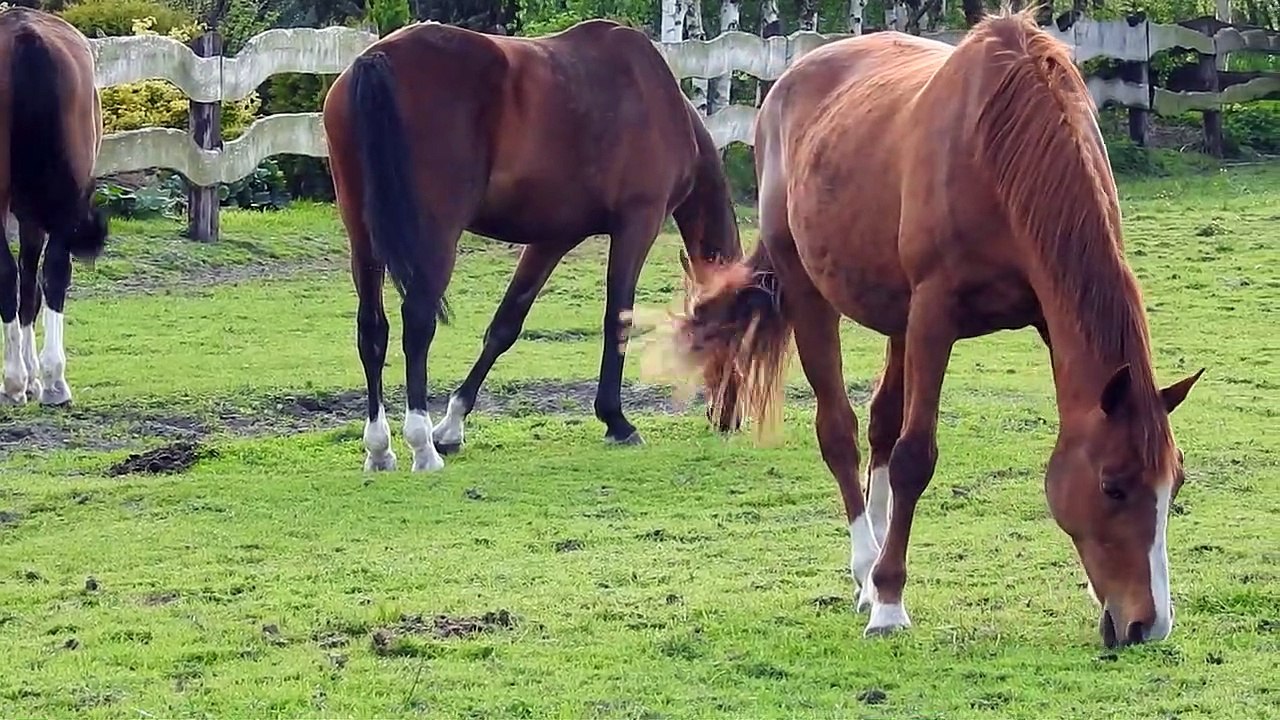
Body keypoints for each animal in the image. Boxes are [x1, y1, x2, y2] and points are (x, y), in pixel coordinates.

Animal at [0, 7, 108, 407]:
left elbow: (27, 284)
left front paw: (28, 377)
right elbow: (32, 285)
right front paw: (33, 377)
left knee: (17, 276)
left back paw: (21, 380)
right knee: (54, 273)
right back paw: (50, 381)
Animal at [322, 18, 742, 473]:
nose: (731, 418)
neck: (659, 99)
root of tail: (378, 57)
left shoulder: (552, 239)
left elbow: (506, 325)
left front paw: (452, 426)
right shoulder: (638, 223)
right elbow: (618, 318)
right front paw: (616, 420)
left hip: (364, 240)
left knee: (372, 330)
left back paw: (380, 449)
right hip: (436, 237)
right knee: (417, 323)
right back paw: (421, 447)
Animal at [659, 9, 1204, 647]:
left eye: (1175, 484)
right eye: (1112, 485)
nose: (1149, 624)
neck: (1000, 152)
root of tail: (785, 84)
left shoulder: (1040, 316)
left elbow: (899, 442)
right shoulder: (933, 317)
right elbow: (915, 456)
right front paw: (891, 603)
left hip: (895, 320)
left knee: (879, 426)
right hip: (811, 294)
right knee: (840, 432)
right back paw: (867, 570)